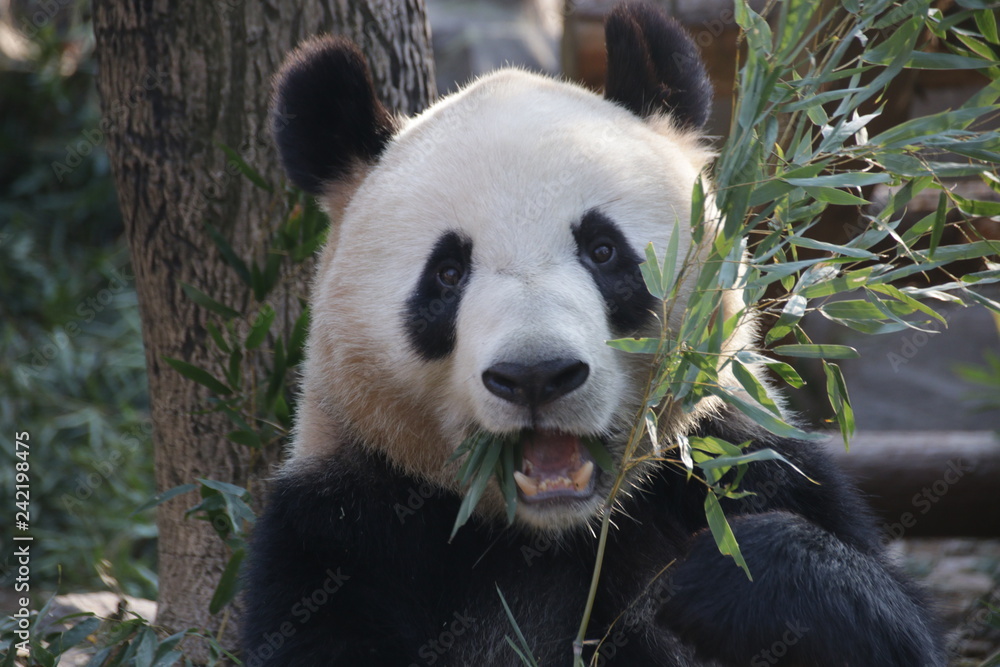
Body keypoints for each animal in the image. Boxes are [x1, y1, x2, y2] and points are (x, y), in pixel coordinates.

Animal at [242, 3, 945, 665]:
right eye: (447, 273)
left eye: (604, 251)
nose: (535, 375)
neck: (551, 530)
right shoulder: (344, 530)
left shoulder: (738, 457)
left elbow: (885, 617)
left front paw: (732, 572)